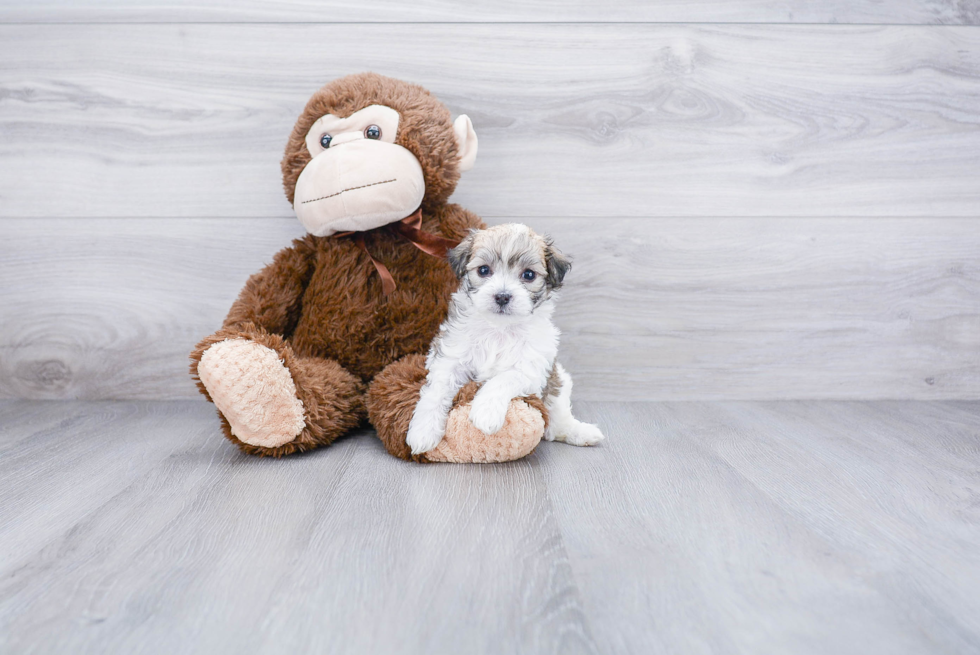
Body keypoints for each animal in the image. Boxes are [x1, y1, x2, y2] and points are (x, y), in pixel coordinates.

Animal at [402, 223, 600, 454]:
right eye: (483, 270)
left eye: (529, 274)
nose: (502, 296)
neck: (499, 329)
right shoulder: (450, 357)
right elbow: (436, 391)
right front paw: (423, 431)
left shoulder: (532, 368)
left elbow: (504, 379)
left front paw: (485, 413)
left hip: (559, 380)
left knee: (557, 416)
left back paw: (580, 432)